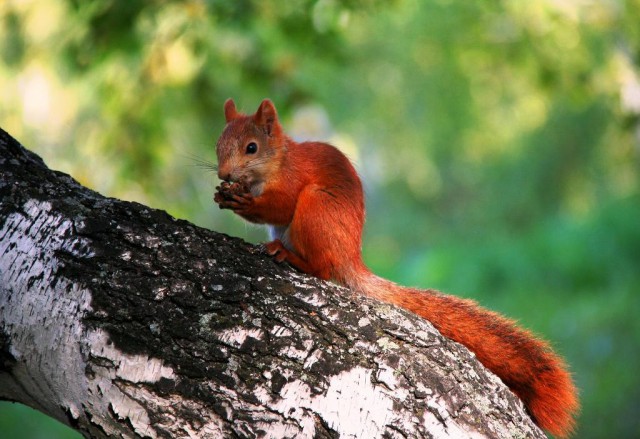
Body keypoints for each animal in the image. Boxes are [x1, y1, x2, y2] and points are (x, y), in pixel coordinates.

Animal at [214, 98, 580, 438]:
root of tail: (349, 258)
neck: (275, 163)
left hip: (316, 211)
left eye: (251, 147)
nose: (223, 175)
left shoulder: (293, 181)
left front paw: (240, 200)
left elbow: (279, 206)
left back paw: (292, 257)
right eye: (218, 145)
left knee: (321, 267)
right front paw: (224, 195)